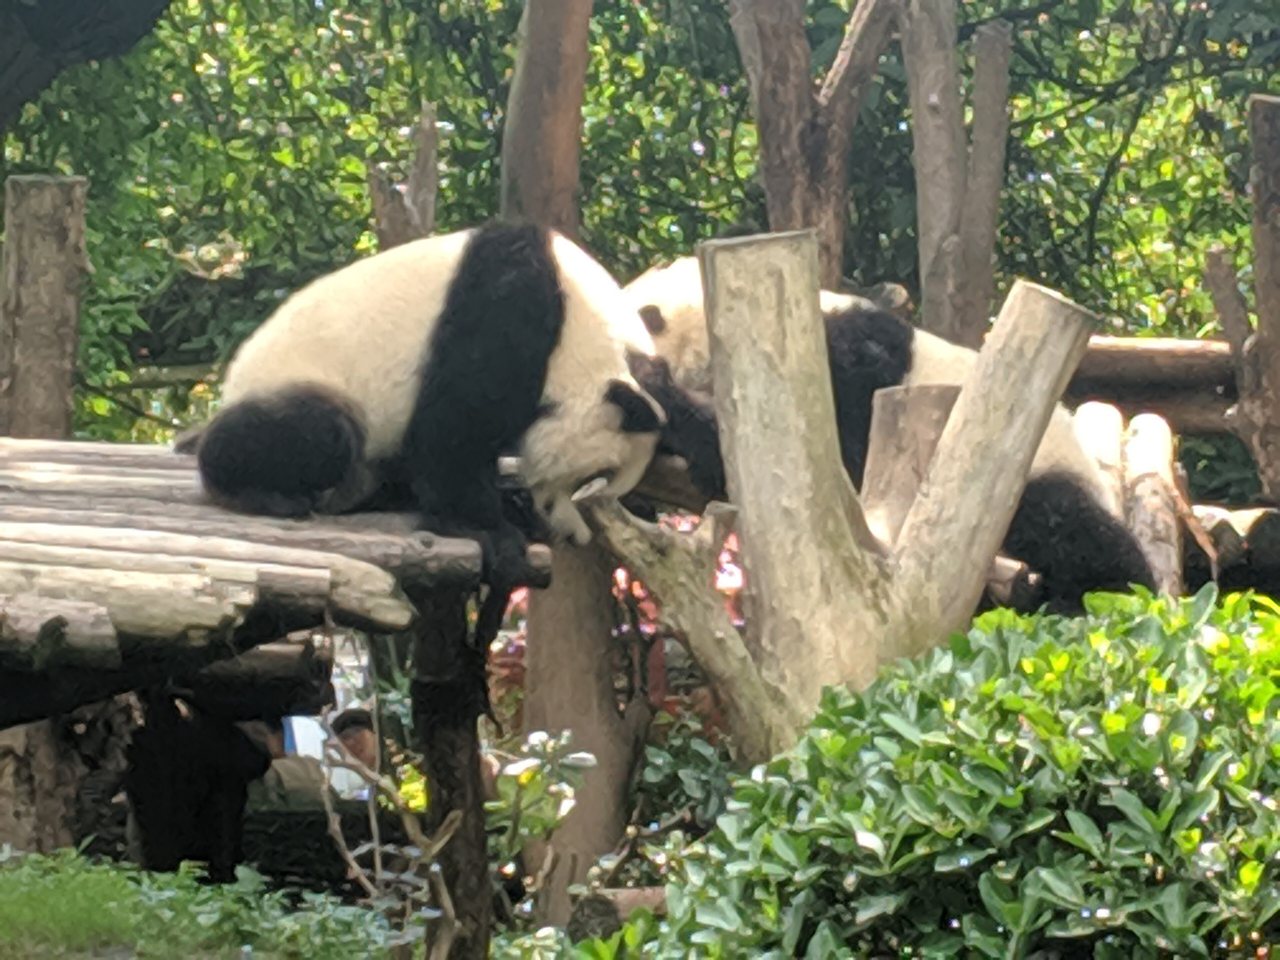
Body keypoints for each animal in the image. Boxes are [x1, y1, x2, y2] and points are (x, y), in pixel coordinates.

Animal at [188, 222, 666, 642]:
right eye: (590, 480)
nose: (572, 536)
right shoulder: (507, 307)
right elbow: (456, 429)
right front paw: (490, 533)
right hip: (301, 384)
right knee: (320, 433)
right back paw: (264, 492)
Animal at [621, 255, 1156, 614]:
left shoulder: (847, 367)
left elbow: (822, 455)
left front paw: (652, 384)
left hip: (1032, 470)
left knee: (1074, 529)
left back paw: (1103, 593)